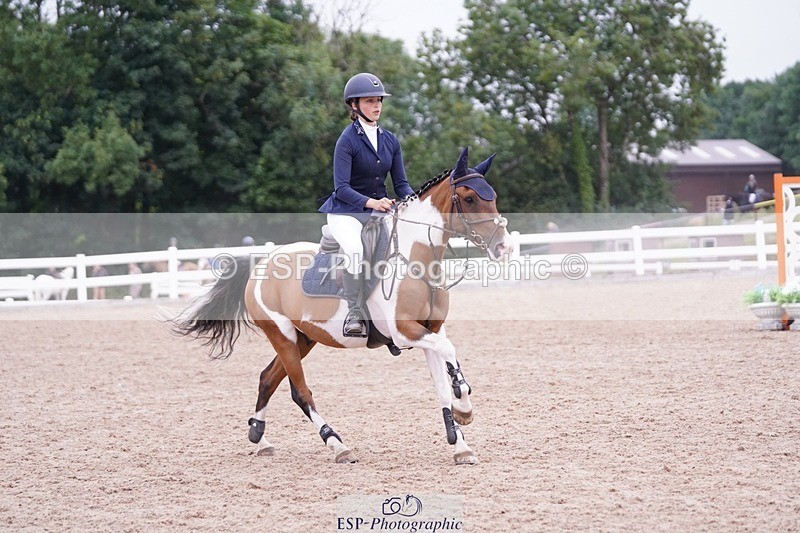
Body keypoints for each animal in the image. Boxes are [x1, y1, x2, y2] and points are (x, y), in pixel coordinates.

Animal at [174, 147, 513, 465]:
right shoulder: (405, 331)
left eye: (493, 197)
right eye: (469, 199)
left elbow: (443, 380)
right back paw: (337, 444)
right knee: (300, 392)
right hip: (282, 336)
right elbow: (450, 352)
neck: (416, 259)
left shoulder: (429, 330)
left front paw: (460, 443)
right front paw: (464, 409)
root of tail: (261, 262)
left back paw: (260, 439)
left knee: (268, 378)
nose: (503, 247)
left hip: (303, 338)